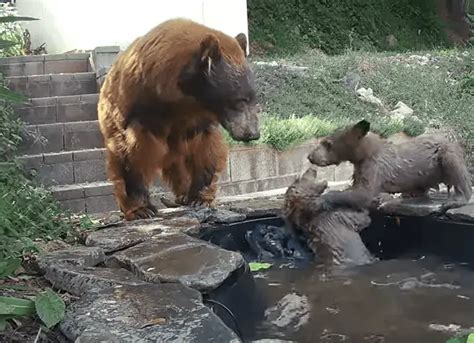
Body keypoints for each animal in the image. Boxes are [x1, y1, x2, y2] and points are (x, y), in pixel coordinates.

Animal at [97, 18, 260, 220]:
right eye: (239, 100)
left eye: (254, 98)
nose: (253, 133)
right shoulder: (141, 112)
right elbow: (133, 154)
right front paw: (141, 208)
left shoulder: (197, 119)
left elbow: (206, 149)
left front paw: (200, 198)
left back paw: (182, 194)